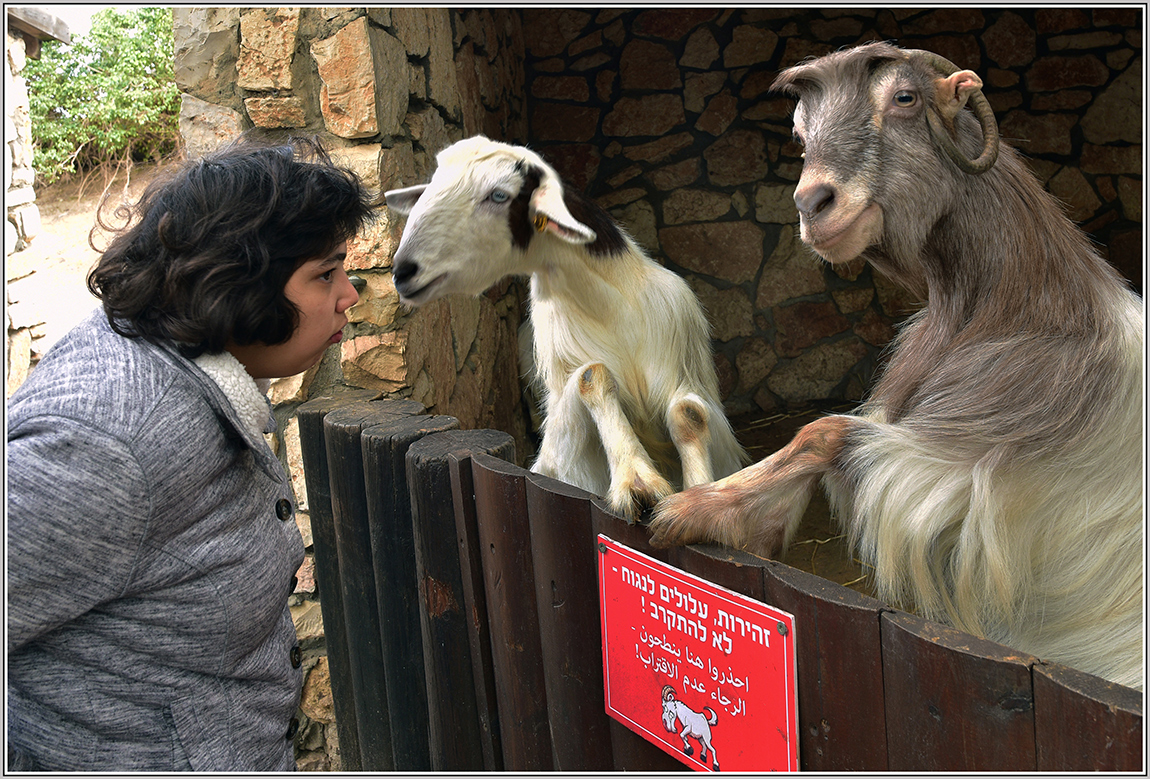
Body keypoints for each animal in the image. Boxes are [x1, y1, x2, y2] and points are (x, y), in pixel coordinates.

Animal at [384, 136, 745, 520]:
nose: (403, 271)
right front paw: (636, 480)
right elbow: (592, 375)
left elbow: (687, 413)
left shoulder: (683, 367)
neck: (610, 307)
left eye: (499, 195)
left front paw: (696, 496)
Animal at [648, 41, 1140, 685]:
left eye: (904, 98)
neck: (1032, 310)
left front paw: (699, 510)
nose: (811, 203)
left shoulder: (972, 461)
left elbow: (823, 432)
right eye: (800, 132)